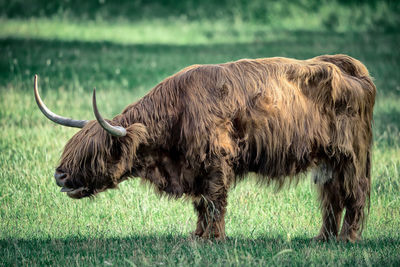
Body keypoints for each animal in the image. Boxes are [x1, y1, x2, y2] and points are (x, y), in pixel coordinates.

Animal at [33, 54, 376, 243]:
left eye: (93, 153)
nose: (60, 176)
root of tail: (348, 67)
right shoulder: (194, 167)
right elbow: (200, 204)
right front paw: (197, 236)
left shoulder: (216, 163)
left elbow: (214, 202)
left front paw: (214, 239)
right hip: (328, 161)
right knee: (331, 198)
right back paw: (323, 238)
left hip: (351, 157)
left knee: (354, 194)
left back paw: (348, 239)